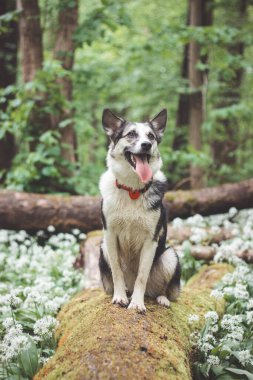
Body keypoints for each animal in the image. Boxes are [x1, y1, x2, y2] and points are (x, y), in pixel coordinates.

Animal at [99, 108, 180, 314]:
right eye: (131, 134)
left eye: (151, 136)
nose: (146, 145)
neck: (133, 189)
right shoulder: (109, 235)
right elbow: (117, 271)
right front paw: (120, 297)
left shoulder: (150, 240)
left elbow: (142, 276)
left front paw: (137, 303)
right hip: (103, 247)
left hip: (170, 256)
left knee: (162, 290)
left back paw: (162, 299)